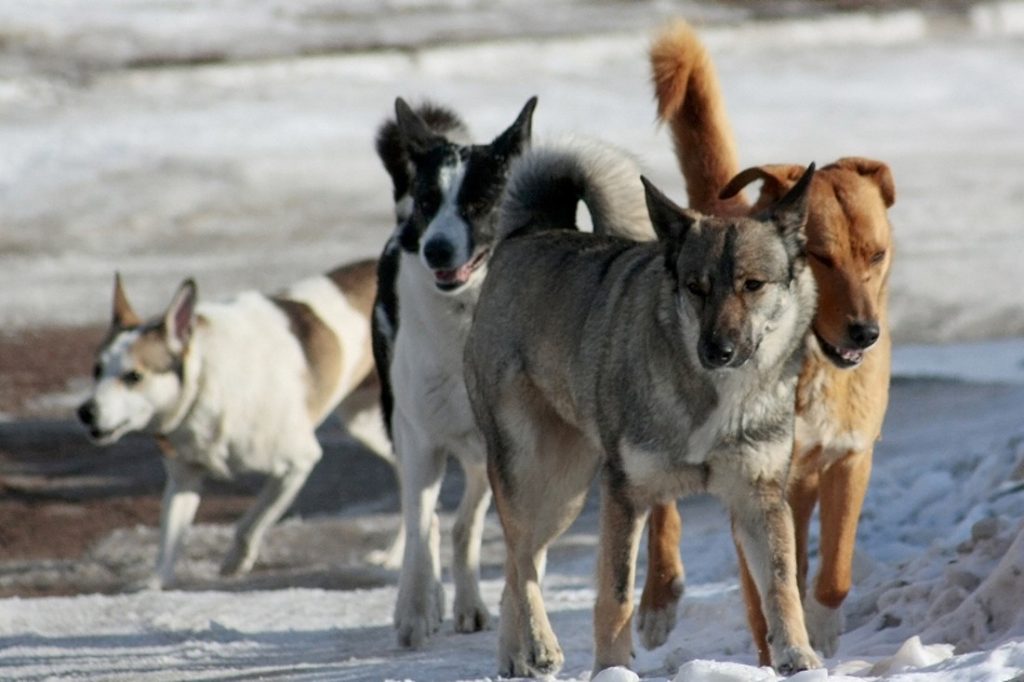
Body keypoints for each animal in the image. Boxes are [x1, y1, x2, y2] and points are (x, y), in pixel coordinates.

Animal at [77, 261, 385, 589]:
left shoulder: (298, 463)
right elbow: (169, 540)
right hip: (365, 424)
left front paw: (235, 562)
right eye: (97, 370)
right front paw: (153, 585)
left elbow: (251, 522)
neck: (205, 380)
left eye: (133, 376)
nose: (85, 412)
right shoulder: (184, 477)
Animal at [374, 94, 536, 643]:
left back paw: (469, 603)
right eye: (428, 202)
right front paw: (414, 610)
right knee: (426, 522)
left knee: (467, 524)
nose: (436, 249)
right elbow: (421, 527)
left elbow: (480, 532)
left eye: (480, 202)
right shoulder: (420, 440)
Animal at [638, 19, 897, 659]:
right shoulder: (752, 483)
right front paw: (773, 653)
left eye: (876, 255)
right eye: (821, 257)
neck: (807, 366)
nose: (866, 333)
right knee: (660, 505)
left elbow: (834, 569)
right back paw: (657, 598)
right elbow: (763, 598)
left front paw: (821, 627)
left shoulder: (849, 457)